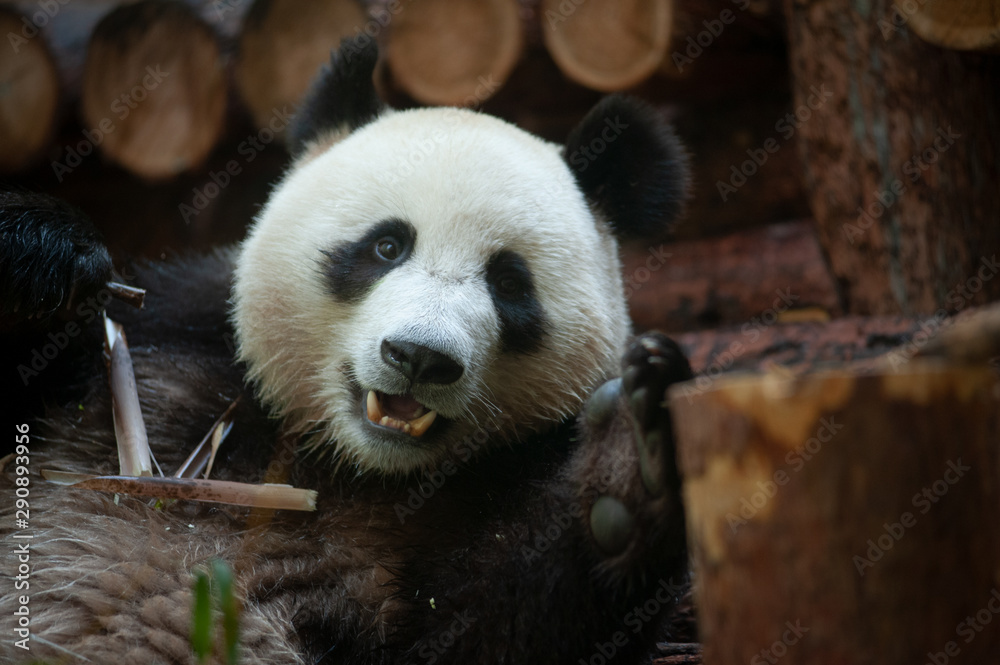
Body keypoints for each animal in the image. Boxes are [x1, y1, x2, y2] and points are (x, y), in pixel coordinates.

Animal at [1, 37, 693, 664]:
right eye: (387, 246)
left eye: (508, 282)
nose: (419, 356)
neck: (352, 464)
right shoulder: (170, 339)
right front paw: (44, 255)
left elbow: (497, 630)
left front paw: (632, 461)